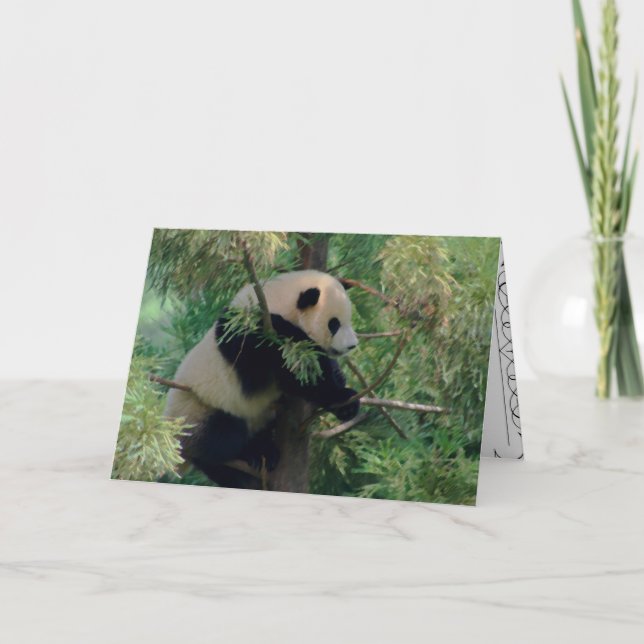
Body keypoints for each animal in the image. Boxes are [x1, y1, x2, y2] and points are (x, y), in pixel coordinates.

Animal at [164, 270, 360, 488]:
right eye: (334, 324)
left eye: (348, 320)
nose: (352, 345)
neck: (275, 301)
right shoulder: (247, 336)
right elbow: (294, 374)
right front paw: (342, 397)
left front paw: (341, 389)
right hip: (198, 409)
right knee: (221, 439)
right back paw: (250, 458)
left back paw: (264, 454)